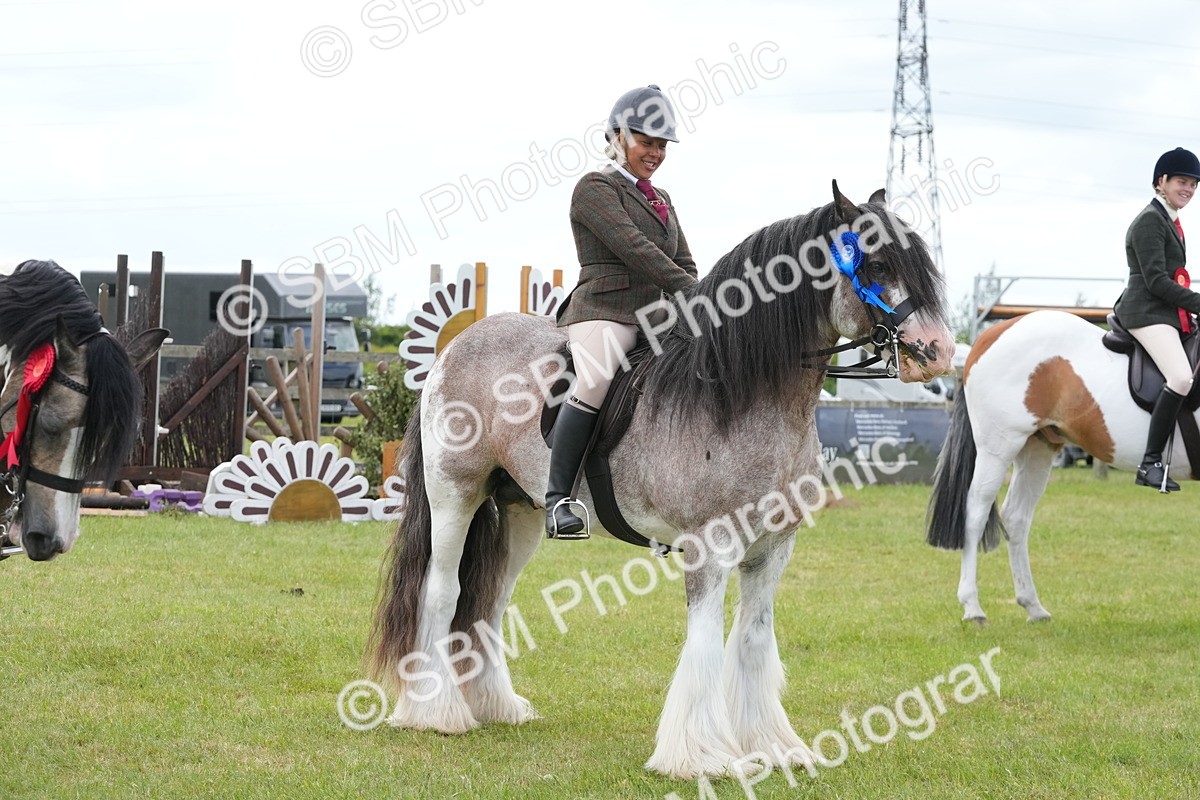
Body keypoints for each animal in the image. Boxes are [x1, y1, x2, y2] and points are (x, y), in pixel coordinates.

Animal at [367, 182, 954, 779]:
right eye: (877, 264)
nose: (939, 352)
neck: (743, 394)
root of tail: (455, 348)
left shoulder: (774, 548)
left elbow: (753, 639)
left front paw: (771, 746)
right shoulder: (711, 546)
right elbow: (705, 644)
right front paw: (700, 756)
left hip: (522, 513)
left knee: (490, 600)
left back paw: (495, 707)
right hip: (454, 496)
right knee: (443, 592)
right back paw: (435, 712)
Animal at [926, 309, 1179, 623]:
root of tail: (991, 335)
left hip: (1037, 448)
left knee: (1017, 517)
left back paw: (1033, 606)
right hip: (999, 446)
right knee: (976, 512)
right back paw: (973, 607)